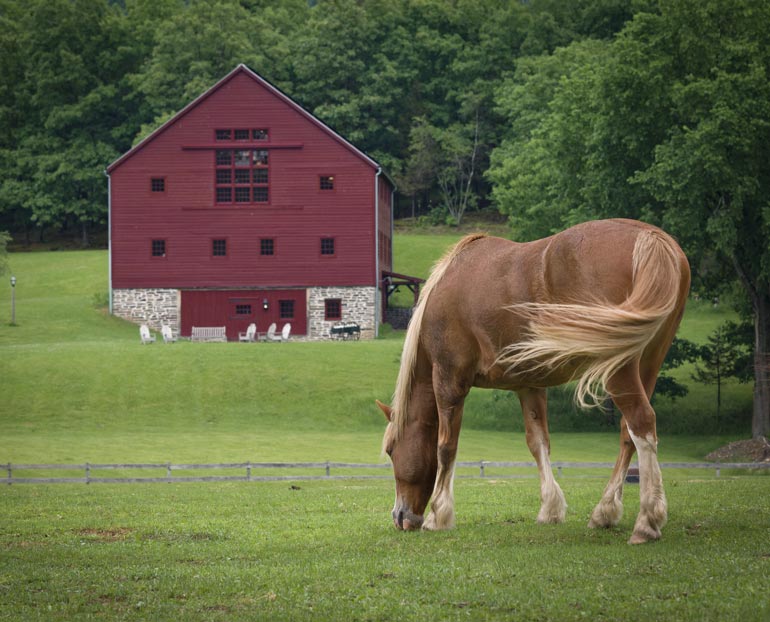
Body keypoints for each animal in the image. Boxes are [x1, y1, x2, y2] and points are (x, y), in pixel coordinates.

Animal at [378, 219, 688, 544]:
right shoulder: (529, 385)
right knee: (629, 433)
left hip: (619, 367)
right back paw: (604, 512)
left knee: (641, 422)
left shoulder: (449, 380)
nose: (400, 517)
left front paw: (439, 515)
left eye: (390, 451)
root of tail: (651, 237)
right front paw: (550, 509)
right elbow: (538, 442)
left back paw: (646, 522)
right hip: (648, 363)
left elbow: (446, 446)